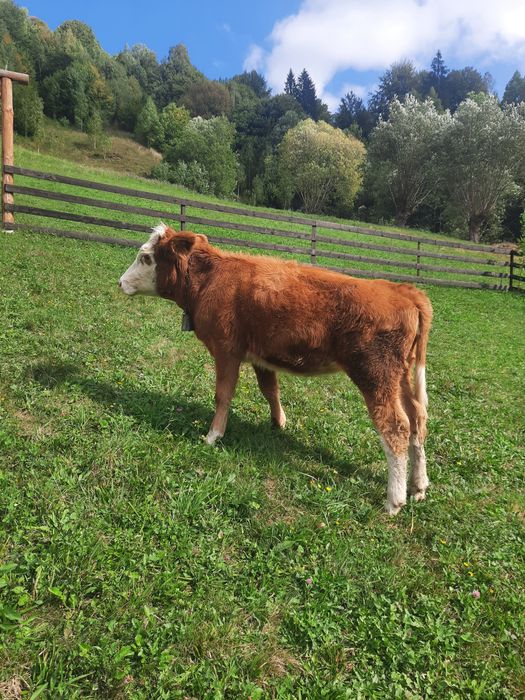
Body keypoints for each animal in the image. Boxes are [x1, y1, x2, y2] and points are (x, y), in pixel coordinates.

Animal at [119, 224, 433, 515]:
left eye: (146, 258)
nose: (121, 282)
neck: (211, 280)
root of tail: (405, 290)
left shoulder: (226, 350)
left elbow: (223, 395)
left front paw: (213, 436)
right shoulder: (260, 357)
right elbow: (270, 390)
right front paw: (278, 422)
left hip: (375, 375)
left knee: (396, 427)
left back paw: (394, 500)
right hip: (400, 377)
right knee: (417, 418)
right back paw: (418, 486)